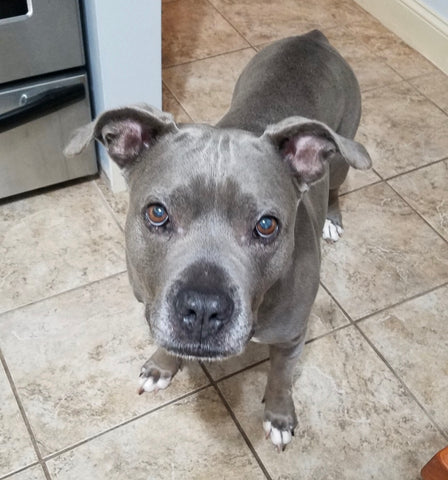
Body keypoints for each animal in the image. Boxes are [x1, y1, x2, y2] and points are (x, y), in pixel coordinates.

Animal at [64, 30, 372, 450]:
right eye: (157, 213)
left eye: (267, 225)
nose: (203, 309)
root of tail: (313, 38)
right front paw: (161, 366)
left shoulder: (292, 338)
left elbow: (281, 379)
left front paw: (279, 416)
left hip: (341, 158)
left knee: (338, 184)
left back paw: (332, 219)